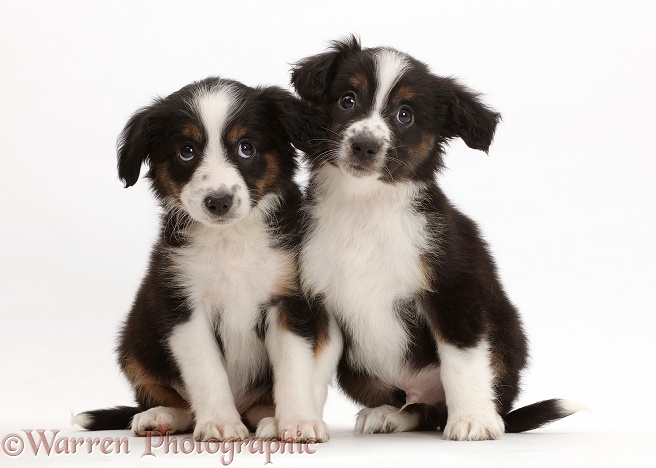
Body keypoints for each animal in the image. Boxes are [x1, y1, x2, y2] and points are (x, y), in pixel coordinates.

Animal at [73, 77, 336, 442]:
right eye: (187, 151)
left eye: (246, 147)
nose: (219, 201)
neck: (230, 240)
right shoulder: (182, 305)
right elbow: (206, 372)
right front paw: (220, 422)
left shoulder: (290, 300)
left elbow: (293, 368)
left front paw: (298, 422)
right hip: (133, 339)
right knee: (175, 398)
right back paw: (161, 417)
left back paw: (270, 419)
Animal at [292, 37, 580, 442]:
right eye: (347, 99)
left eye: (405, 115)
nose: (365, 145)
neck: (365, 206)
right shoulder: (320, 300)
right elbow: (310, 367)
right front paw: (300, 421)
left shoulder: (452, 289)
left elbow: (461, 360)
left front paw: (472, 420)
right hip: (360, 375)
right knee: (416, 410)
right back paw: (387, 415)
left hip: (505, 332)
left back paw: (486, 416)